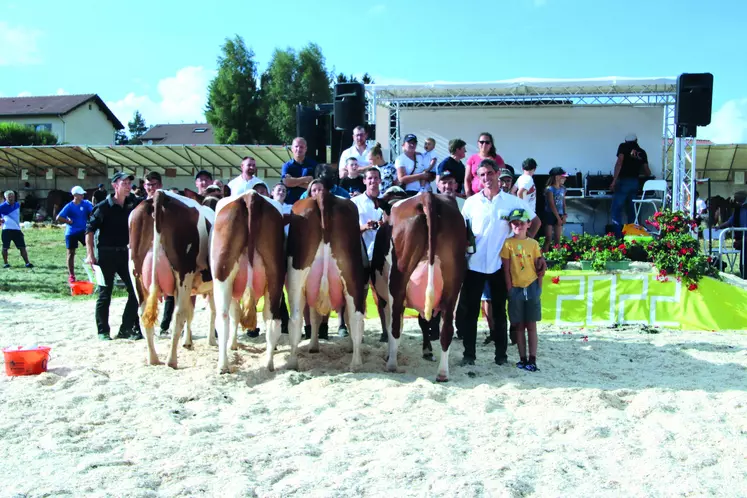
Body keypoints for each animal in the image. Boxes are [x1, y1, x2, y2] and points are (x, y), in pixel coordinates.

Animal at [128, 191, 216, 370]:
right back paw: (171, 360)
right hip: (183, 273)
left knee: (143, 314)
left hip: (135, 273)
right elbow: (210, 311)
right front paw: (211, 340)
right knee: (178, 314)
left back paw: (153, 358)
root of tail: (160, 194)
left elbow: (192, 313)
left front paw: (188, 342)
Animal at [210, 191, 286, 374]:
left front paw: (233, 344)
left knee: (223, 318)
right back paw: (269, 364)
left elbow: (235, 314)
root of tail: (251, 195)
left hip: (222, 276)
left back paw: (223, 366)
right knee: (272, 320)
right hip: (275, 276)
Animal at [284, 191, 370, 370]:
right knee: (356, 318)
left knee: (295, 319)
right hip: (352, 281)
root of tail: (324, 195)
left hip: (296, 281)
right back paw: (356, 364)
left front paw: (313, 346)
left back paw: (292, 363)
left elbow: (315, 318)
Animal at [374, 193, 468, 384]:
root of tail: (427, 197)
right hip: (453, 284)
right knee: (446, 329)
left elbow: (390, 322)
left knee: (395, 326)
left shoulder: (382, 297)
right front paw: (427, 350)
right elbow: (423, 321)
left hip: (397, 280)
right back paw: (442, 374)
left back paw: (392, 365)